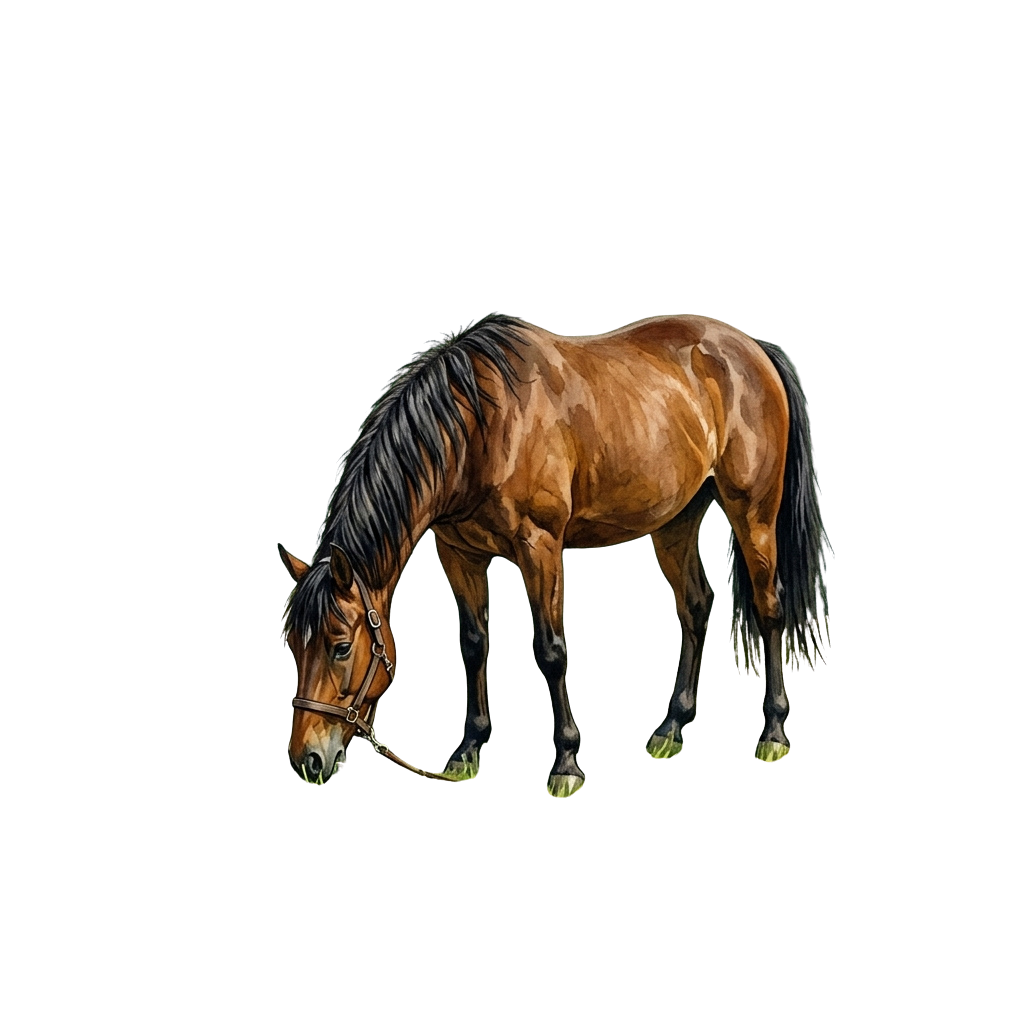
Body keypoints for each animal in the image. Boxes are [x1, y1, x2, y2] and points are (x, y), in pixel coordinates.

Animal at [279, 313, 832, 796]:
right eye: (291, 644)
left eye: (341, 647)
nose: (309, 760)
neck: (478, 425)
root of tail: (754, 349)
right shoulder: (458, 552)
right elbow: (473, 645)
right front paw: (467, 751)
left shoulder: (539, 545)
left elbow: (551, 651)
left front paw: (566, 764)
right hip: (677, 521)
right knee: (695, 608)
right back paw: (671, 728)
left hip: (753, 513)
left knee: (769, 607)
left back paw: (772, 733)